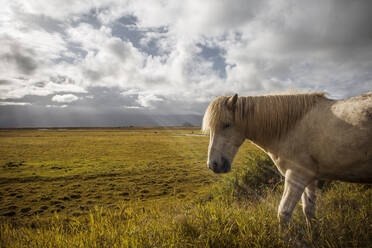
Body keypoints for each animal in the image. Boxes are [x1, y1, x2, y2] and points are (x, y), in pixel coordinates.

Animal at [203, 92, 372, 226]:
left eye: (227, 125)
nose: (213, 164)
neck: (290, 128)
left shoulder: (297, 176)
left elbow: (283, 214)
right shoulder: (309, 177)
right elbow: (309, 211)